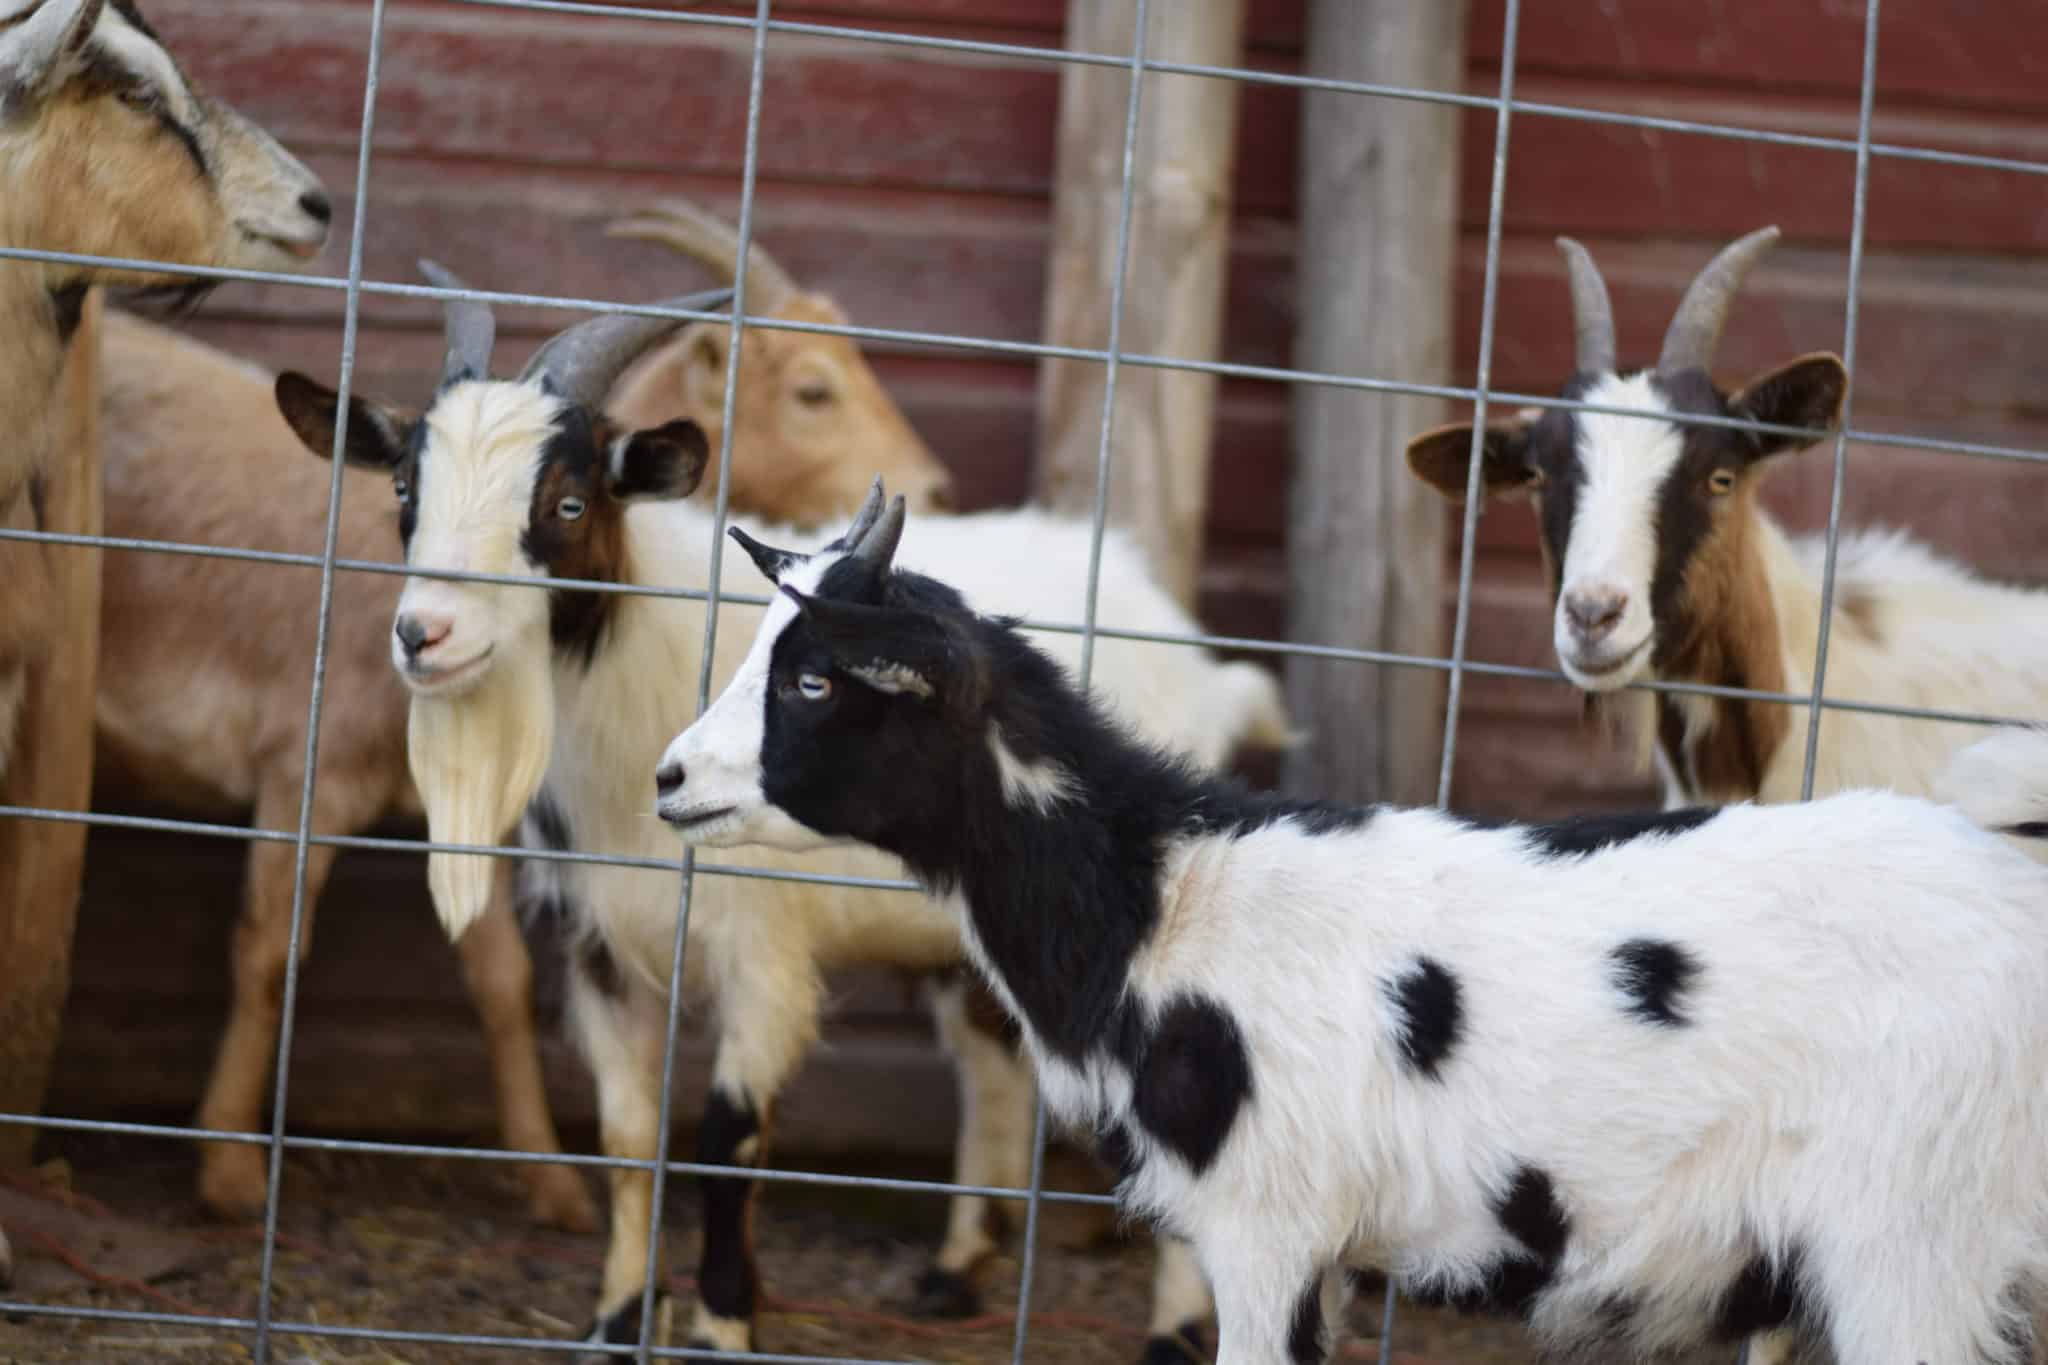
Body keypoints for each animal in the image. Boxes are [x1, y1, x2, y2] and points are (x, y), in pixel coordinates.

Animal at [276, 286, 1294, 1358]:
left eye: (566, 502)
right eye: (404, 493)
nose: (424, 634)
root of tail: (1189, 646)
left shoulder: (760, 949)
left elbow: (727, 1136)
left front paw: (723, 1321)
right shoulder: (598, 943)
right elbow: (627, 1133)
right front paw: (616, 1316)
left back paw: (1172, 1326)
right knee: (989, 1065)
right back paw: (955, 1272)